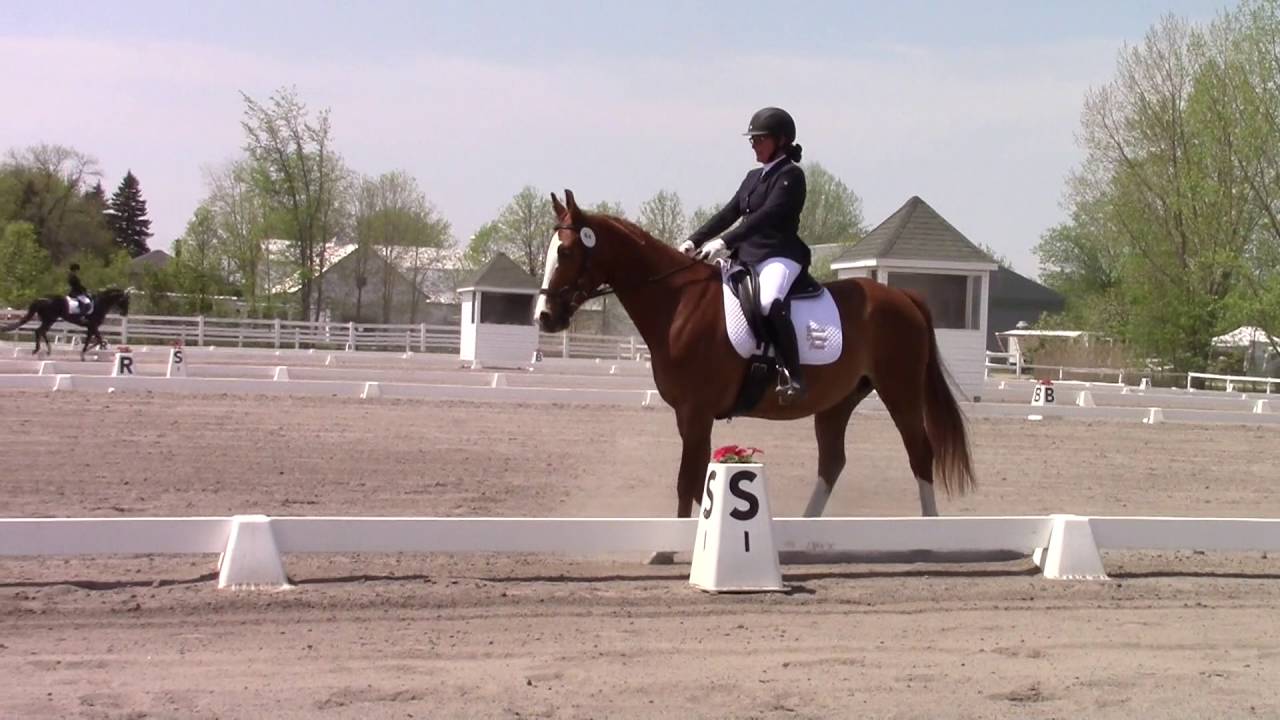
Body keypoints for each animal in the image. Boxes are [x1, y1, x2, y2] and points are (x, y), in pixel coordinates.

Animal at [2, 285, 132, 358]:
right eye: (125, 300)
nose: (124, 313)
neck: (100, 304)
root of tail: (42, 299)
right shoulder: (92, 326)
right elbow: (97, 339)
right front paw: (84, 353)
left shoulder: (91, 327)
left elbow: (96, 339)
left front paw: (88, 351)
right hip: (50, 319)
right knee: (40, 331)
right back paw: (41, 350)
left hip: (49, 320)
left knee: (40, 331)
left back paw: (45, 350)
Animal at [537, 188, 967, 530]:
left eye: (566, 251)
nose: (544, 316)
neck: (680, 304)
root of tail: (903, 297)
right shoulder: (686, 415)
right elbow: (697, 483)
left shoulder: (697, 411)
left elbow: (687, 480)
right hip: (838, 401)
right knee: (832, 462)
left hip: (900, 392)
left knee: (920, 455)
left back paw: (932, 532)